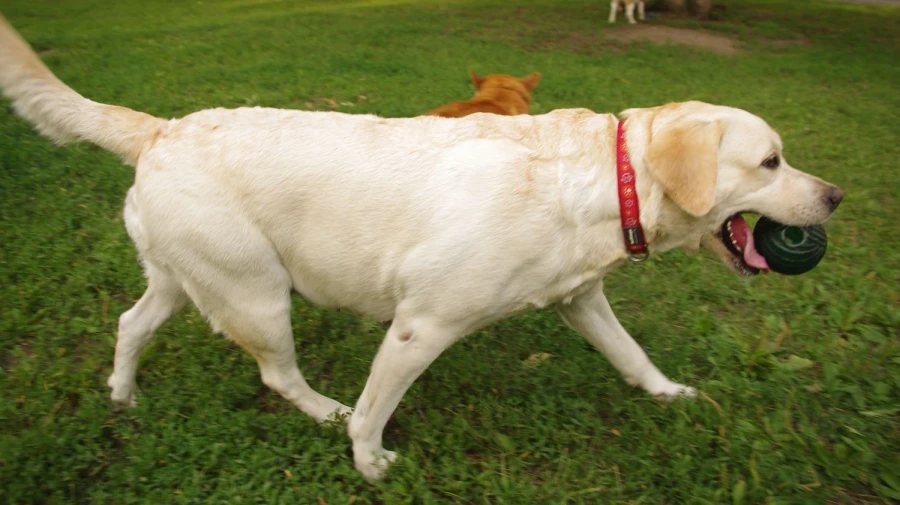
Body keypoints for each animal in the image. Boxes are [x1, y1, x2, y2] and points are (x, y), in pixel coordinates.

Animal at [0, 13, 844, 478]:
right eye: (772, 162)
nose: (835, 196)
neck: (609, 176)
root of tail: (158, 129)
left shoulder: (582, 300)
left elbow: (631, 354)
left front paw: (669, 394)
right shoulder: (420, 327)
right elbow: (378, 408)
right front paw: (370, 463)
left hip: (186, 276)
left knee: (129, 324)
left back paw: (124, 395)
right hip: (257, 293)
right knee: (280, 375)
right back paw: (326, 411)